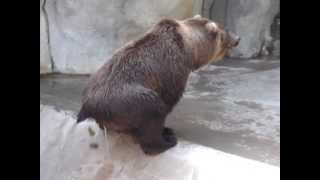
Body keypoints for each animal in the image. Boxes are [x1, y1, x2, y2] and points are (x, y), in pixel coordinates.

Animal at [77, 14, 238, 155]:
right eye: (225, 30)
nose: (238, 38)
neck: (190, 49)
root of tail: (90, 105)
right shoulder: (173, 69)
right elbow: (169, 98)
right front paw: (166, 131)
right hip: (127, 100)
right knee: (153, 112)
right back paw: (166, 141)